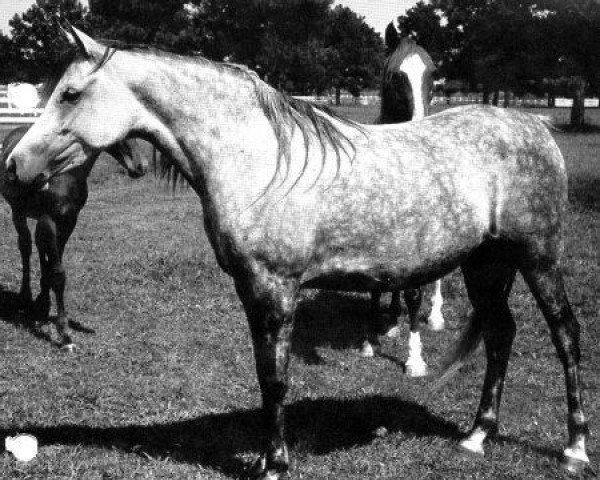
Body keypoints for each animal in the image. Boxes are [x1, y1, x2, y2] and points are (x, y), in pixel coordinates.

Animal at [0, 124, 148, 348]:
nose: (140, 167)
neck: (67, 174)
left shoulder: (68, 221)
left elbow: (53, 265)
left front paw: (44, 305)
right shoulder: (50, 220)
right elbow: (58, 273)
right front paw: (65, 333)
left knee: (39, 246)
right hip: (18, 211)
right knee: (25, 247)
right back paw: (25, 297)